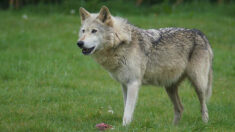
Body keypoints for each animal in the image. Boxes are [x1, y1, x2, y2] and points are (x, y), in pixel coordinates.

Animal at [76, 6, 213, 126]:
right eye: (83, 31)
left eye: (94, 31)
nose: (79, 43)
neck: (121, 43)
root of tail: (201, 34)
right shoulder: (124, 85)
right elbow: (126, 108)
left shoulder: (133, 83)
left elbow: (127, 112)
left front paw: (124, 127)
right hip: (169, 87)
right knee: (180, 108)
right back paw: (173, 127)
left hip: (199, 84)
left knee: (204, 107)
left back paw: (205, 124)